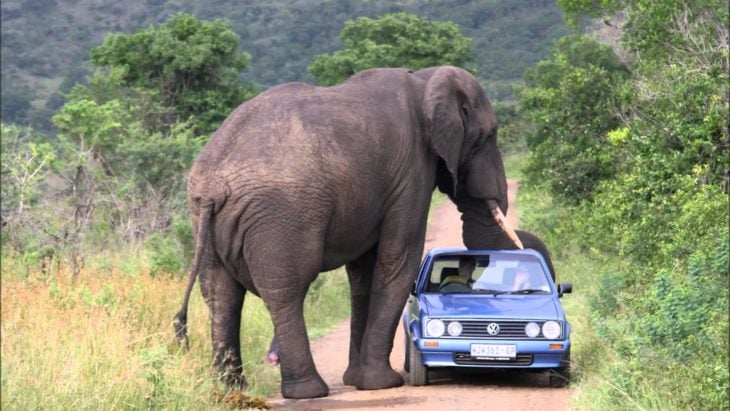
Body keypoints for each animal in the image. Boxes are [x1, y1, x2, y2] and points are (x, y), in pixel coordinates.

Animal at [173, 67, 520, 400]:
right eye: (489, 135)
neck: (425, 78)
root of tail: (214, 184)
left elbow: (363, 274)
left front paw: (357, 381)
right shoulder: (411, 173)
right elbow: (399, 259)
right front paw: (382, 384)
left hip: (203, 216)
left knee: (221, 294)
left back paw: (230, 390)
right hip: (281, 216)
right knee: (286, 291)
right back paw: (308, 392)